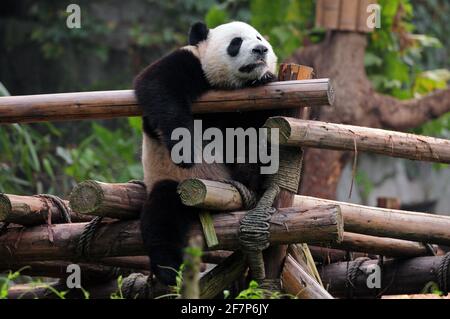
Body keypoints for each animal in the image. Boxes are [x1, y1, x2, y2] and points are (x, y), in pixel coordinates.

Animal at [134, 20, 288, 284]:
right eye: (236, 42)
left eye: (260, 38)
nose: (261, 50)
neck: (227, 86)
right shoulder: (190, 63)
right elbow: (157, 85)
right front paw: (185, 150)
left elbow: (255, 134)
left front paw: (264, 77)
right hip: (172, 181)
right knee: (162, 216)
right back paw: (168, 270)